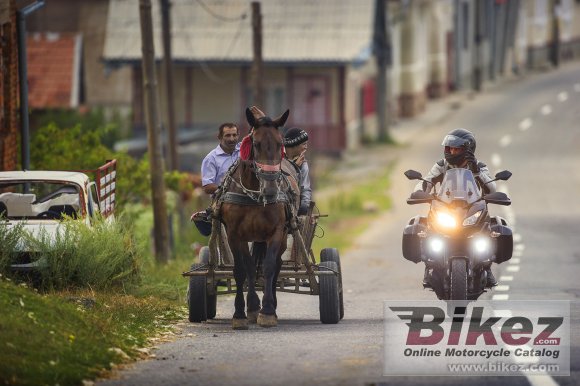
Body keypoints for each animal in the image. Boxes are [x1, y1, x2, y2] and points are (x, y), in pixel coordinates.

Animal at [219, 108, 300, 328]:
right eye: (256, 144)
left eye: (280, 144)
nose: (271, 189)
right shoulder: (234, 234)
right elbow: (242, 269)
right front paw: (241, 312)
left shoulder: (276, 232)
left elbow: (270, 266)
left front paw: (268, 311)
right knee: (250, 267)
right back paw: (252, 307)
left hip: (283, 234)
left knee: (277, 264)